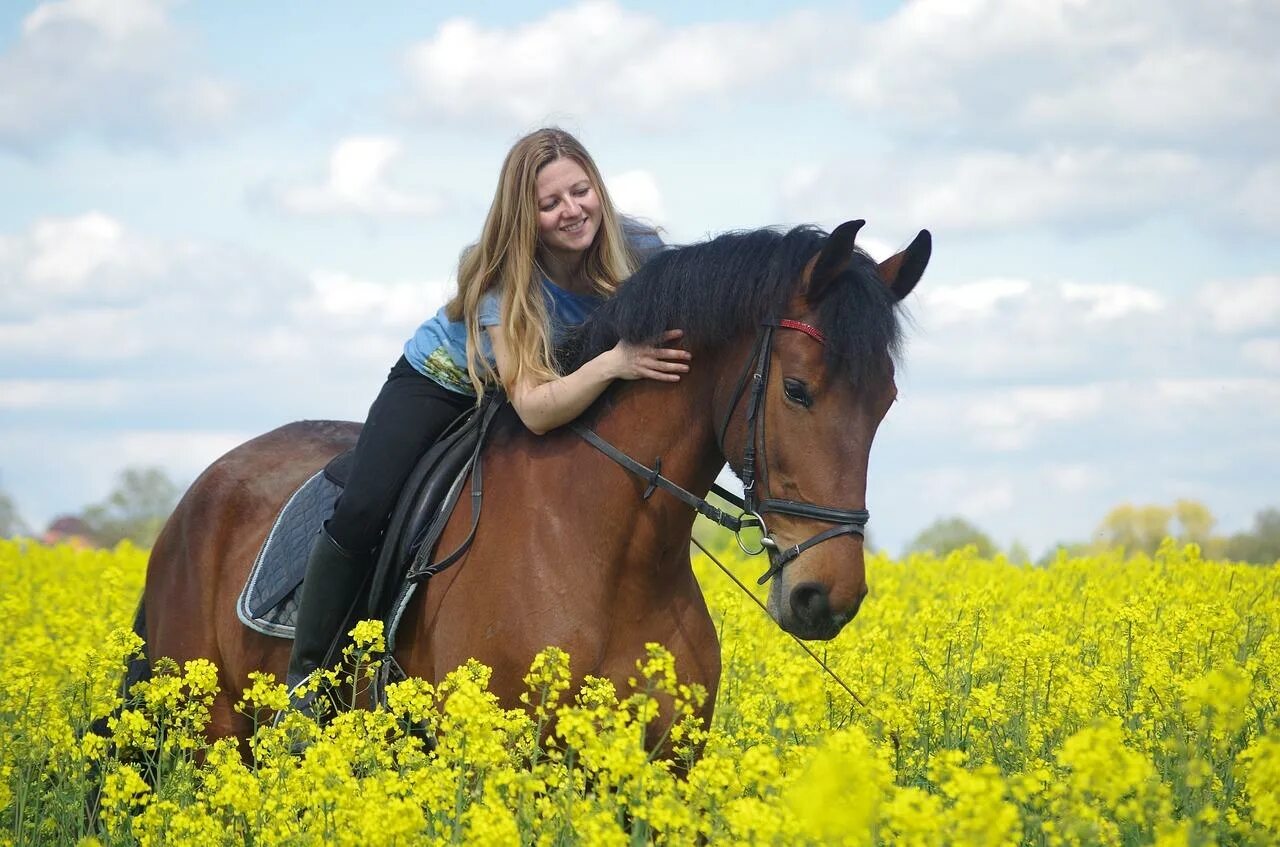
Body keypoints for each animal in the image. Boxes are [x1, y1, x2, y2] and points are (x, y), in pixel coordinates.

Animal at [140, 218, 931, 752]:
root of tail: (201, 491)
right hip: (208, 733)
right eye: (798, 390)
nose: (827, 597)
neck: (607, 551)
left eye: (887, 400)